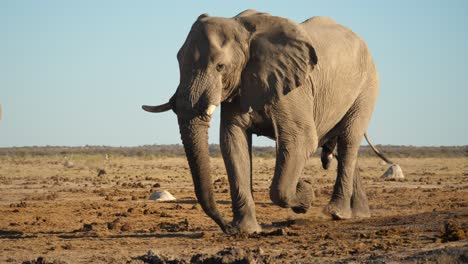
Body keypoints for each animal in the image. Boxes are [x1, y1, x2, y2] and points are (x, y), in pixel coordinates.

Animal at [143, 9, 392, 233]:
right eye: (178, 62)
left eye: (220, 66)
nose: (226, 227)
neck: (241, 28)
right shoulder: (241, 84)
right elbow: (233, 142)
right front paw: (246, 231)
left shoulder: (293, 89)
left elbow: (300, 141)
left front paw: (304, 193)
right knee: (344, 144)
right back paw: (358, 214)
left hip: (368, 87)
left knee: (349, 140)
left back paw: (336, 213)